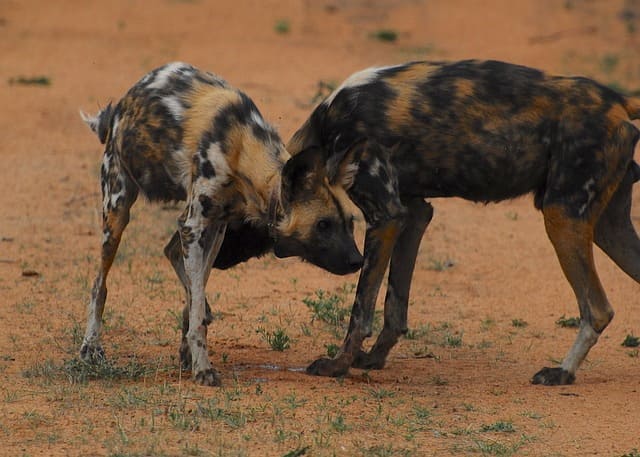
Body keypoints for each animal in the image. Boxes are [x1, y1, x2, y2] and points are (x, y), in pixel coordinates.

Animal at [80, 61, 362, 384]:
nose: (358, 260)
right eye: (323, 225)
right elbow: (198, 309)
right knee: (99, 285)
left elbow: (198, 300)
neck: (242, 147)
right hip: (117, 213)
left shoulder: (215, 226)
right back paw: (90, 347)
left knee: (171, 256)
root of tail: (120, 107)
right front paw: (203, 369)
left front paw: (192, 350)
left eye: (350, 223)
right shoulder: (194, 225)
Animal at [288, 58, 640, 384]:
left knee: (597, 309)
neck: (329, 126)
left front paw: (338, 366)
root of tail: (617, 101)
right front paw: (374, 357)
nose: (352, 260)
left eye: (331, 224)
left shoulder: (386, 217)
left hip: (561, 217)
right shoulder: (413, 214)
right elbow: (395, 307)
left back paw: (562, 372)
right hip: (607, 227)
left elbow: (361, 309)